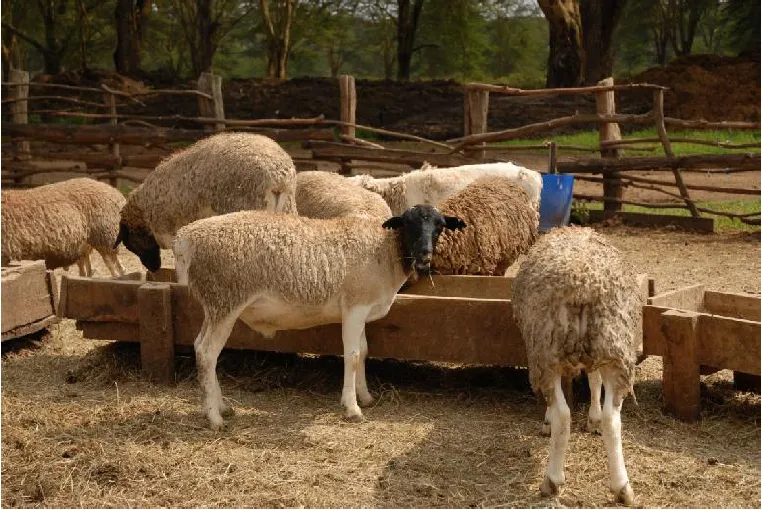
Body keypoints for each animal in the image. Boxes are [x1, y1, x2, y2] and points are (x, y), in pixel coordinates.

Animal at [173, 205, 465, 428]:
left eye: (439, 226)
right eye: (409, 224)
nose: (425, 255)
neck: (385, 252)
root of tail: (186, 237)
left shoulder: (362, 310)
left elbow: (364, 351)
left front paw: (365, 397)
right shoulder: (354, 308)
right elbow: (352, 356)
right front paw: (352, 408)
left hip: (214, 305)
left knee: (200, 347)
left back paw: (222, 407)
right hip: (225, 300)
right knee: (207, 353)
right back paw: (215, 418)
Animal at [511, 226, 640, 505]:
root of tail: (583, 286)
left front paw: (547, 421)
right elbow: (593, 380)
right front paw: (592, 417)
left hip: (546, 352)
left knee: (563, 415)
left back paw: (551, 481)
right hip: (614, 346)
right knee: (612, 419)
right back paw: (622, 487)